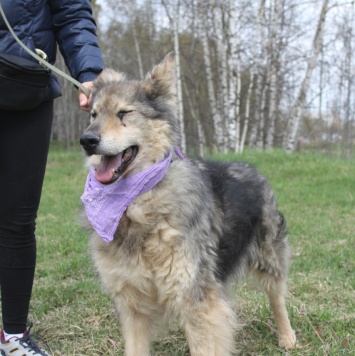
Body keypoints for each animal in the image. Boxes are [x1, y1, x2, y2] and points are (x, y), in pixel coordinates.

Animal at [80, 52, 298, 356]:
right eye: (93, 115)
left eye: (124, 113)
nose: (86, 140)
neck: (136, 205)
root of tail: (252, 169)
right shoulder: (132, 303)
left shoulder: (198, 300)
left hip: (269, 256)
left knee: (277, 297)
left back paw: (287, 336)